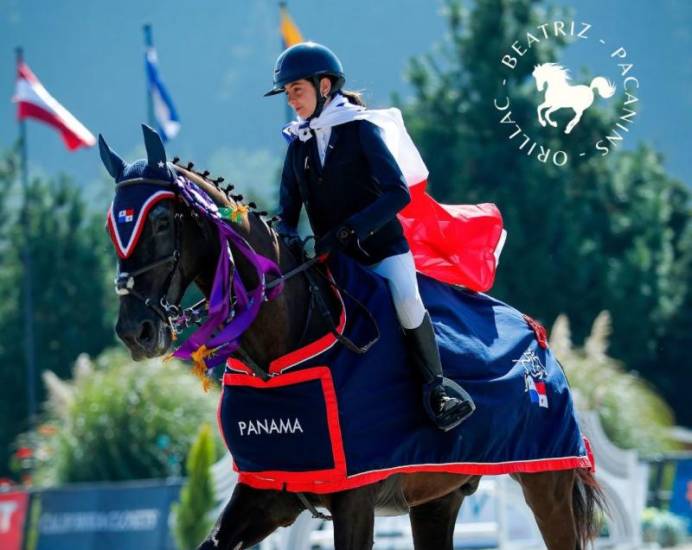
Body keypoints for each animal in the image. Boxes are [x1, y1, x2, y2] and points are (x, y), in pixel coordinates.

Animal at [100, 126, 604, 550]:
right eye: (112, 226)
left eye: (160, 220)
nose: (135, 332)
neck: (281, 351)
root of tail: (539, 338)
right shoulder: (269, 491)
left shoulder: (355, 500)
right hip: (438, 498)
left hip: (547, 481)